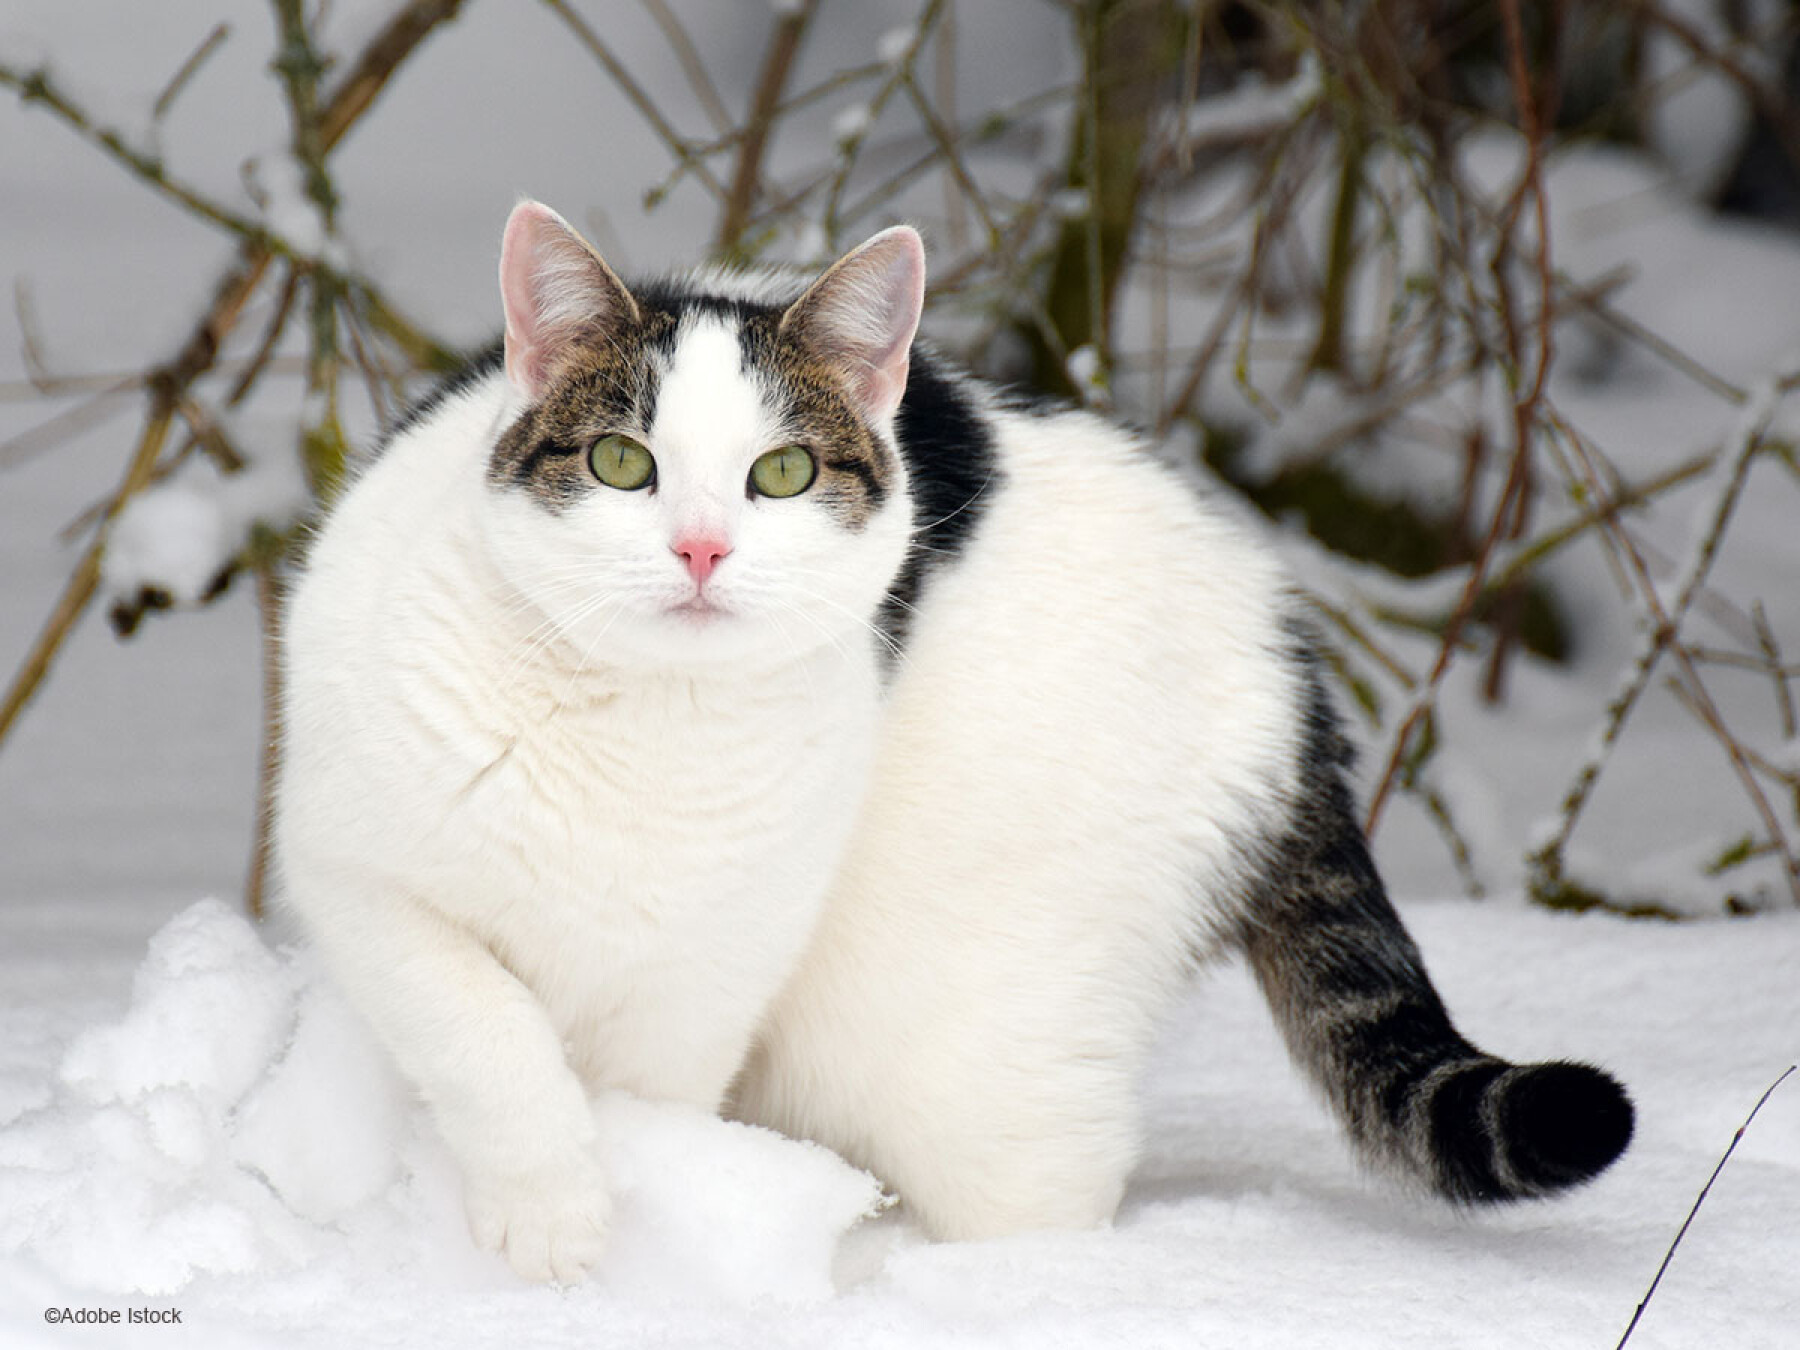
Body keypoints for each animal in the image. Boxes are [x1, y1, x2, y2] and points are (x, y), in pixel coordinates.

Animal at [273, 200, 1641, 1288]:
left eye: (780, 476)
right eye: (620, 461)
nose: (703, 550)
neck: (634, 729)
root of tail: (1285, 640)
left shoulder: (704, 978)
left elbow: (635, 1098)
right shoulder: (361, 878)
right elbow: (487, 1033)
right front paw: (553, 1215)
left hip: (980, 1039)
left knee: (1042, 1198)